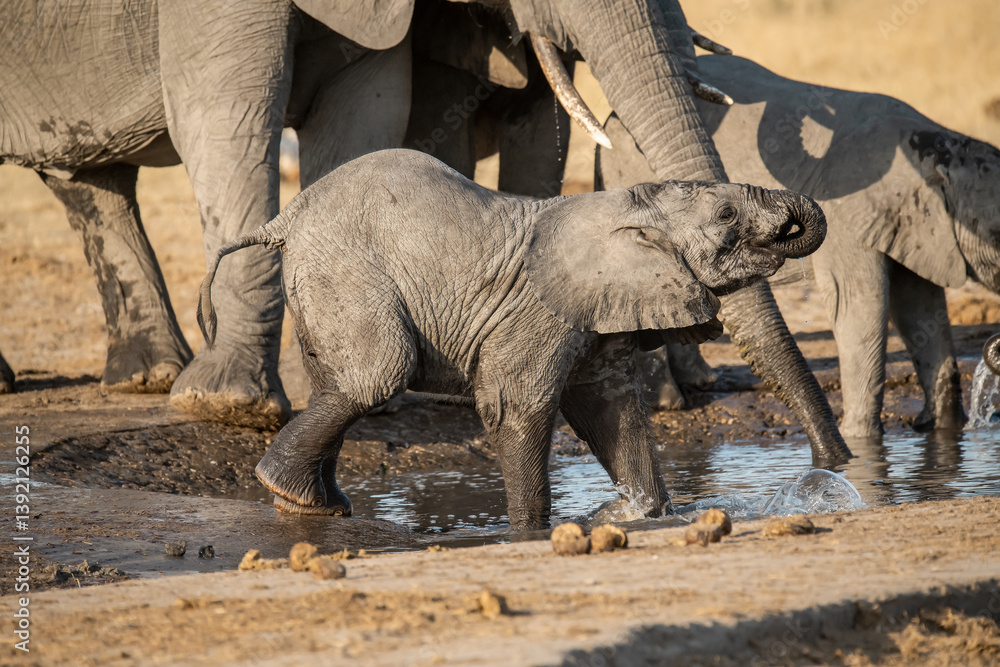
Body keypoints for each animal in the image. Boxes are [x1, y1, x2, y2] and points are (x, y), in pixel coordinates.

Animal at [197, 149, 829, 529]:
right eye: (726, 217)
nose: (792, 223)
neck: (627, 203)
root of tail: (285, 218)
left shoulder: (595, 312)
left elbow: (610, 409)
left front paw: (641, 516)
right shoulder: (540, 312)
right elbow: (519, 405)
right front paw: (532, 530)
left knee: (339, 383)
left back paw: (313, 505)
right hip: (346, 271)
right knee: (378, 375)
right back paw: (293, 493)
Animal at [598, 54, 1000, 439]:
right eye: (997, 234)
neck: (938, 143)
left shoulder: (921, 232)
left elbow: (921, 309)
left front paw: (941, 428)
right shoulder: (854, 218)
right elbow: (860, 306)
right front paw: (860, 439)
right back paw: (669, 402)